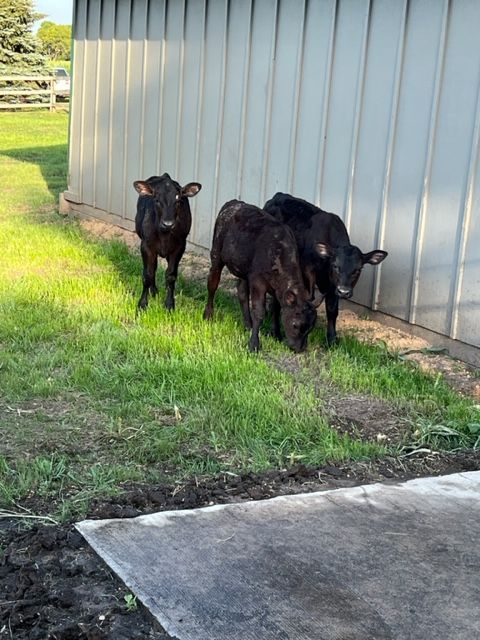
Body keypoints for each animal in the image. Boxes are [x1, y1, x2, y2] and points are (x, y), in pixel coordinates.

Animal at [133, 173, 201, 310]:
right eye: (157, 200)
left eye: (178, 201)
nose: (168, 223)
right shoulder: (146, 246)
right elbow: (147, 274)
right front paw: (142, 304)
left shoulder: (179, 247)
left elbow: (171, 275)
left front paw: (169, 304)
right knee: (153, 268)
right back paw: (153, 291)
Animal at [203, 199, 317, 352]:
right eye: (295, 325)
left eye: (310, 329)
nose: (300, 348)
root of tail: (233, 203)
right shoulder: (258, 282)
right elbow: (259, 312)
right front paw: (254, 344)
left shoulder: (275, 288)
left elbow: (276, 309)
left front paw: (276, 334)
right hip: (216, 253)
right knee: (212, 284)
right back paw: (208, 315)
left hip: (244, 269)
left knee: (241, 291)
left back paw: (247, 324)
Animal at [263, 192, 387, 346]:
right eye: (335, 266)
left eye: (358, 270)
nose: (344, 291)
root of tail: (278, 195)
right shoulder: (307, 270)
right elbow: (309, 298)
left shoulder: (333, 285)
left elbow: (332, 309)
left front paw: (332, 339)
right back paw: (275, 331)